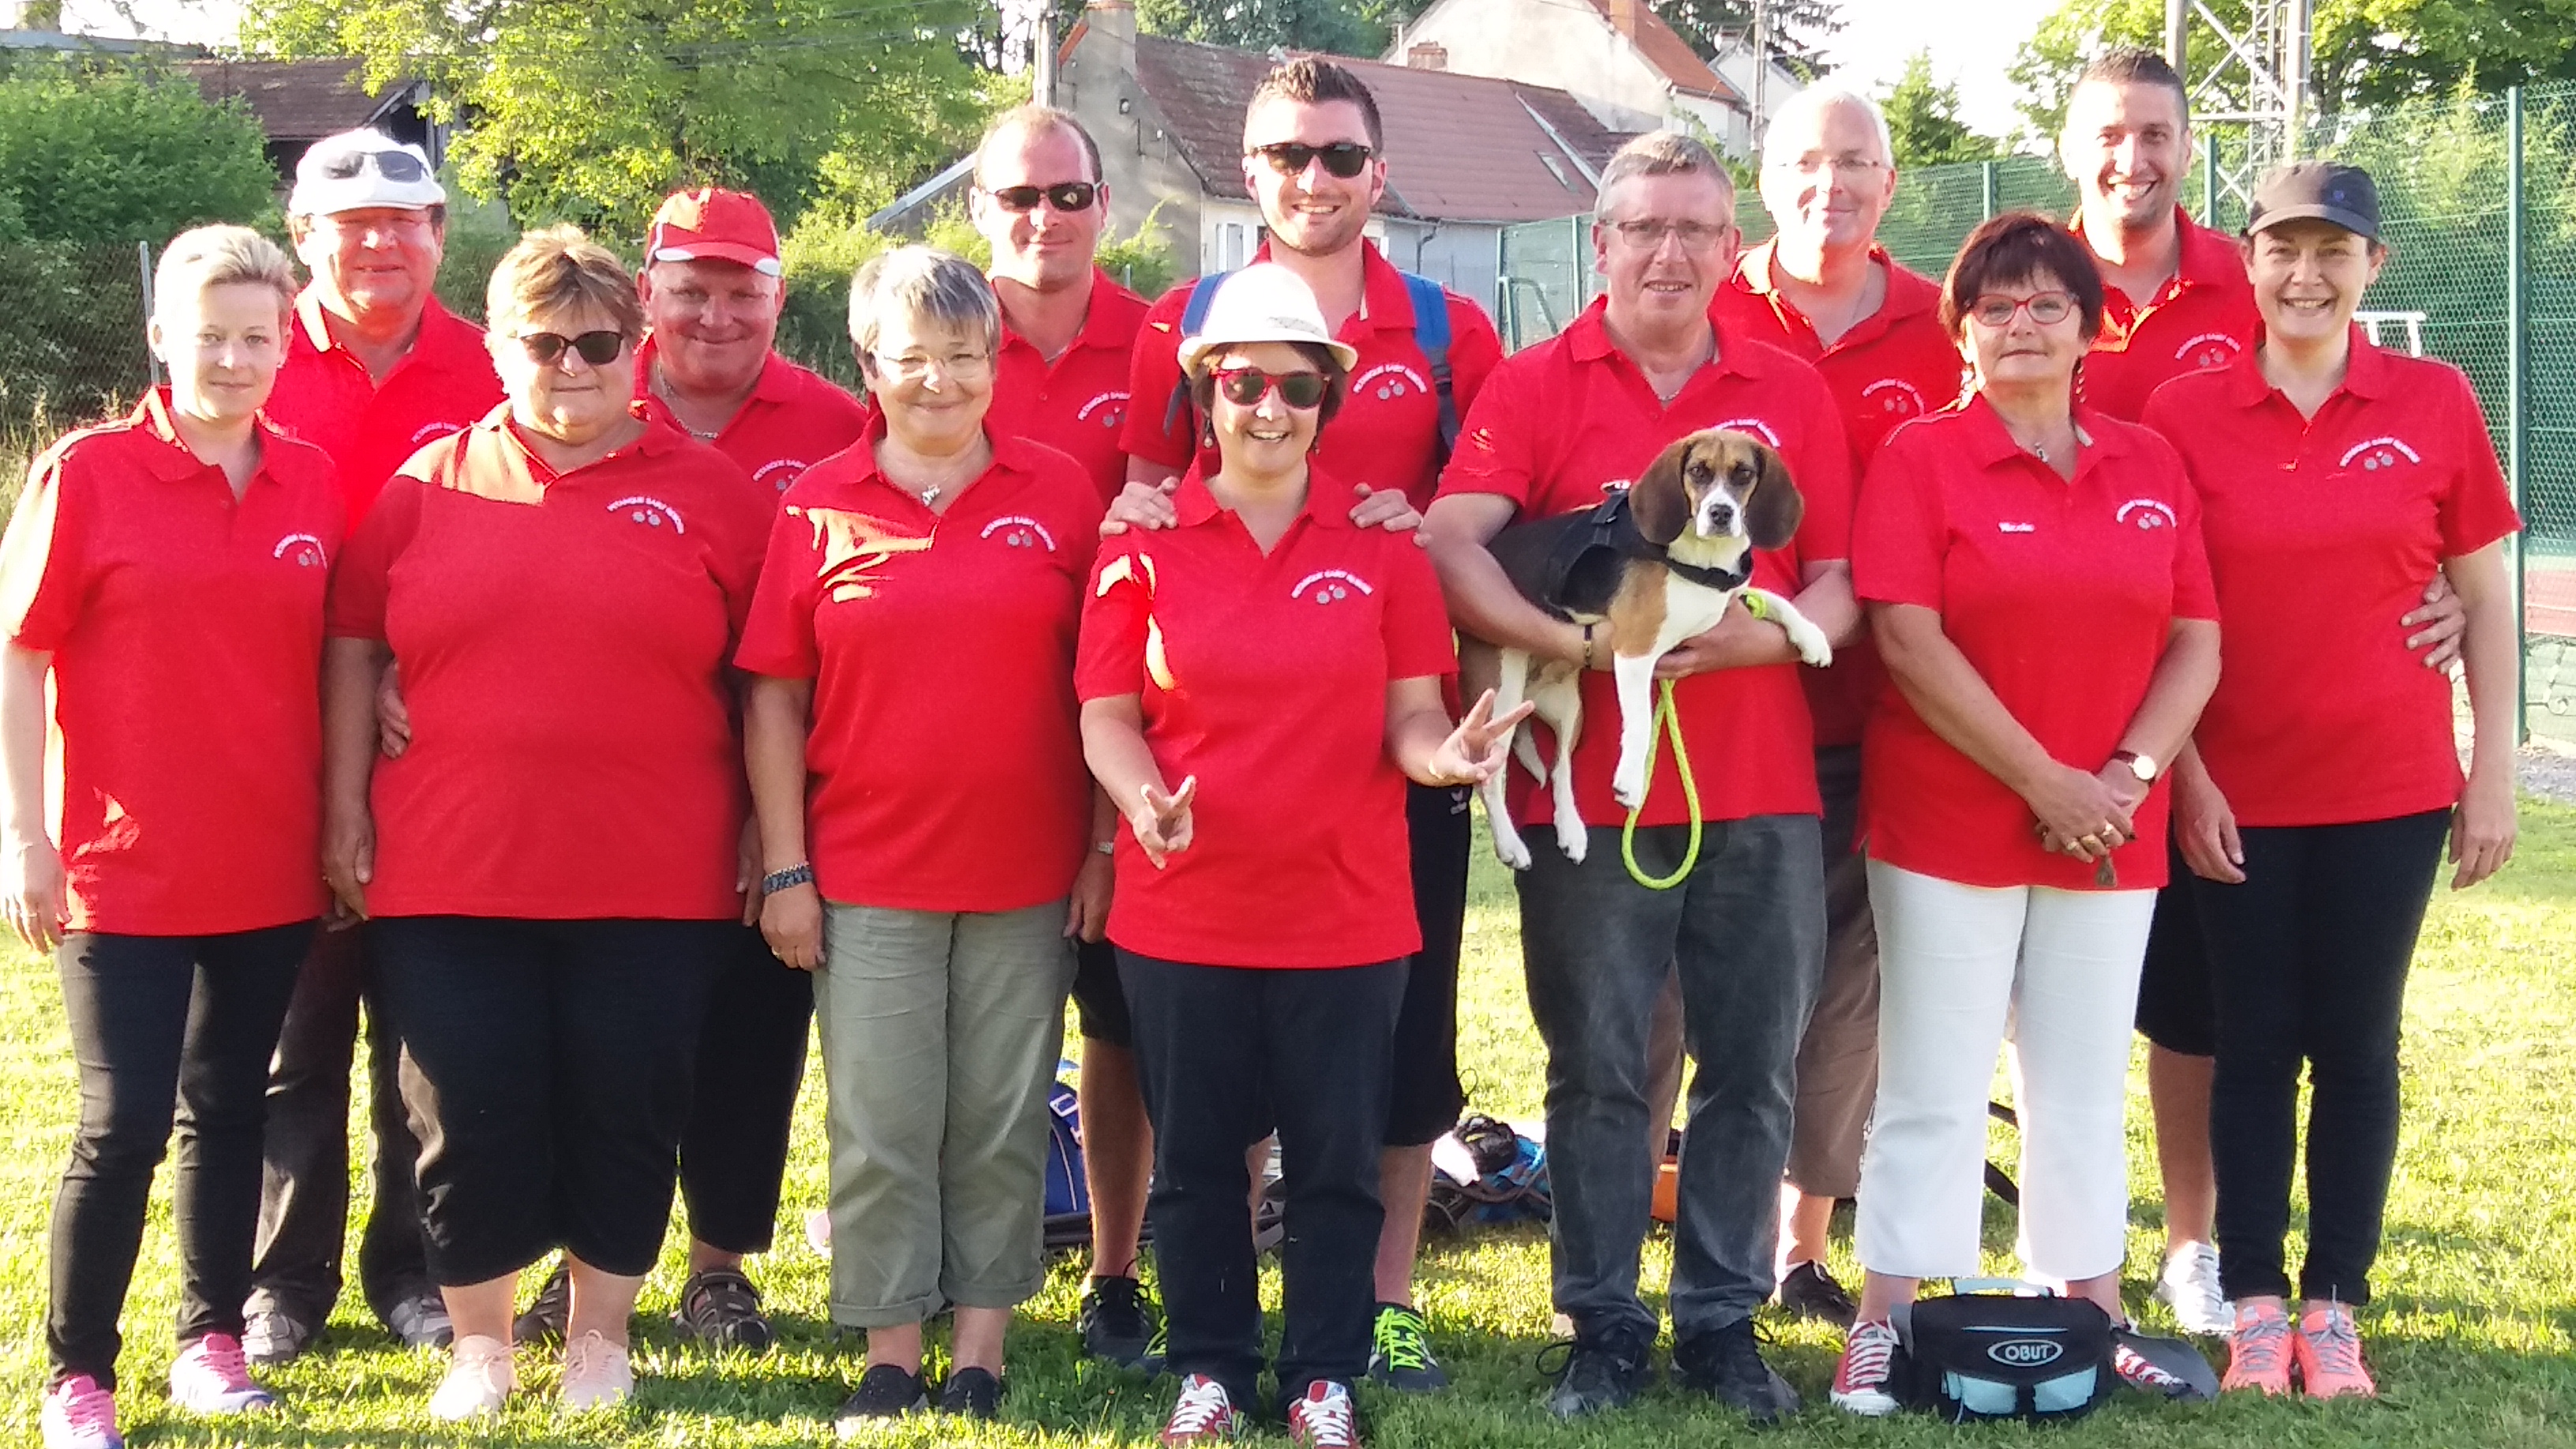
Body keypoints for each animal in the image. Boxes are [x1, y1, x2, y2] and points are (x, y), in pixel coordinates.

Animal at [1473, 422, 1833, 861]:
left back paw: (1572, 830)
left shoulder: (1726, 599)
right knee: (1490, 777)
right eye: (1698, 471)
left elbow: (1774, 599)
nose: (1720, 513)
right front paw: (1630, 780)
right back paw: (1510, 845)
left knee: (1560, 768)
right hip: (1500, 703)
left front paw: (1812, 637)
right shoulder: (1635, 650)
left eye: (1743, 474)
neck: (1703, 558)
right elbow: (1641, 722)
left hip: (1570, 710)